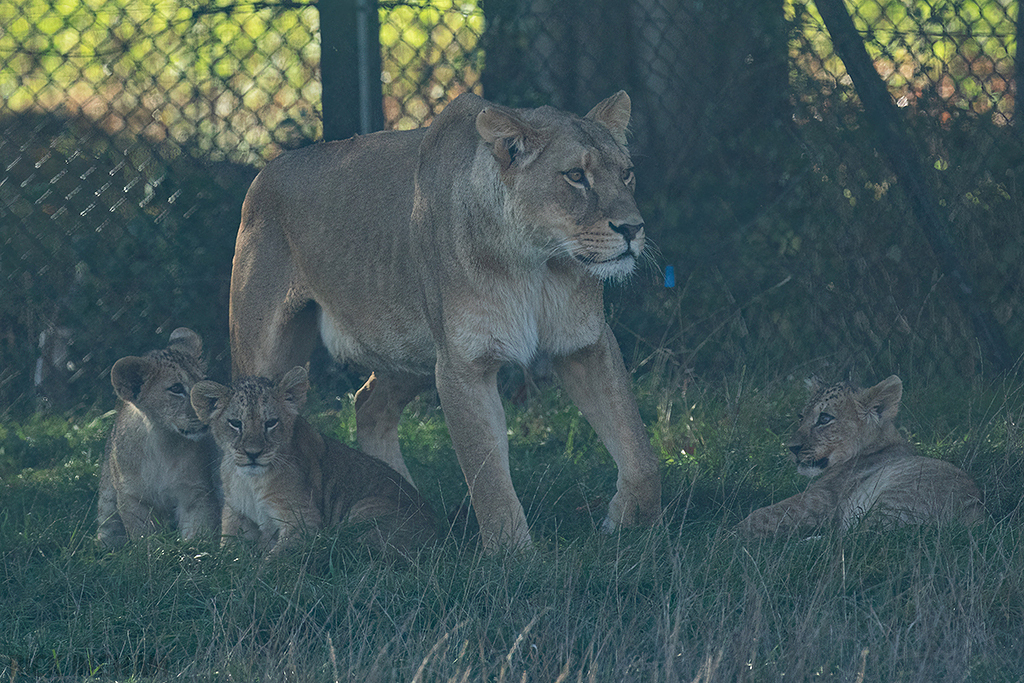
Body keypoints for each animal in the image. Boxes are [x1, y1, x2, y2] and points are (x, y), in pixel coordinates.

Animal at [97, 328, 221, 548]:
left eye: (203, 381)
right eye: (176, 388)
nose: (210, 409)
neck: (164, 442)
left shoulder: (197, 492)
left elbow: (199, 531)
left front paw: (194, 551)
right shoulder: (132, 498)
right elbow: (145, 537)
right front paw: (154, 552)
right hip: (107, 503)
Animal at [190, 366, 439, 557]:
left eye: (270, 423)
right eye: (235, 423)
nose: (253, 453)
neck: (250, 482)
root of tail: (440, 533)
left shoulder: (304, 522)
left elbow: (273, 561)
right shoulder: (234, 513)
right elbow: (227, 551)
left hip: (363, 512)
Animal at [228, 91, 661, 549]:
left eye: (627, 173)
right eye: (576, 175)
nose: (633, 229)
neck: (538, 263)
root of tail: (265, 171)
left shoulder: (586, 343)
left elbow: (638, 450)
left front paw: (631, 523)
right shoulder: (462, 364)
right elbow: (488, 474)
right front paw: (514, 555)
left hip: (410, 350)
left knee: (368, 405)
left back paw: (401, 502)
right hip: (268, 357)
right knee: (234, 429)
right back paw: (235, 541)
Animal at [737, 375, 985, 537]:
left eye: (824, 418)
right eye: (801, 416)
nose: (791, 448)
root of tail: (974, 516)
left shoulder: (819, 501)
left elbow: (759, 516)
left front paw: (731, 538)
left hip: (888, 501)